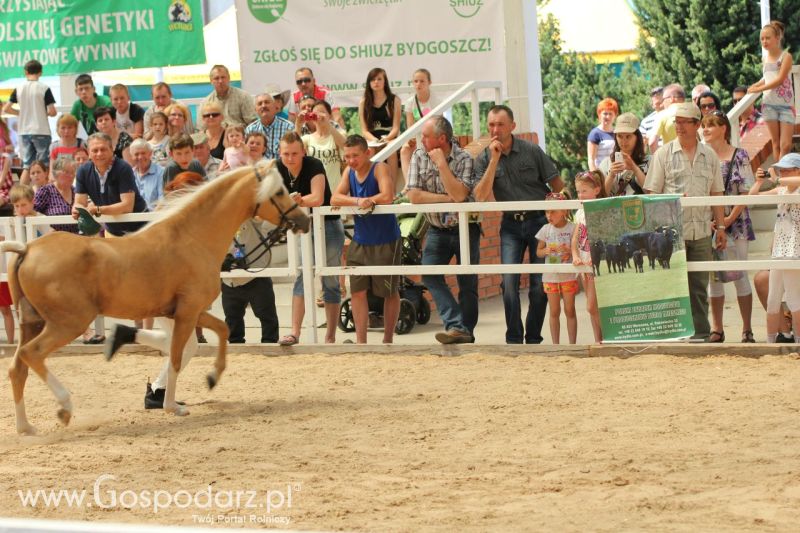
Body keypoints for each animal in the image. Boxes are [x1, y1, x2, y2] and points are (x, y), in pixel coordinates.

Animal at [1, 160, 310, 434]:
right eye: (279, 191)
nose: (303, 220)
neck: (192, 238)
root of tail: (27, 249)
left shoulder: (190, 311)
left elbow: (221, 330)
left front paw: (212, 378)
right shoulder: (187, 313)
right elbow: (176, 358)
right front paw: (173, 406)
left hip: (33, 322)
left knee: (17, 368)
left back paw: (26, 427)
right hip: (68, 323)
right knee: (31, 355)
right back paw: (64, 408)